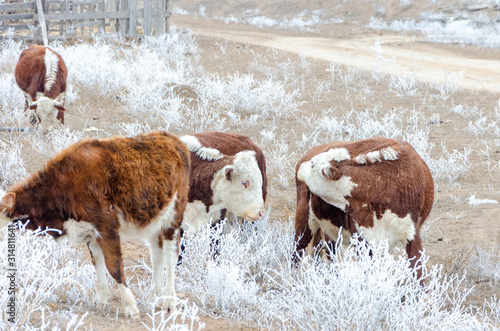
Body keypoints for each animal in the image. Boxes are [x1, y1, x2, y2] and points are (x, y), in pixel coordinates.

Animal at [0, 130, 189, 320]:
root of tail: (172, 139)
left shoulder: (107, 228)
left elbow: (114, 267)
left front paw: (130, 307)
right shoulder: (89, 231)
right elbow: (98, 262)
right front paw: (100, 301)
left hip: (172, 218)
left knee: (171, 257)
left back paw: (169, 301)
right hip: (153, 223)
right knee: (157, 256)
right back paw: (153, 296)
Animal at [292, 137, 434, 286]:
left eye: (313, 165)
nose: (300, 166)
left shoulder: (412, 233)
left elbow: (418, 273)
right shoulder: (363, 240)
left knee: (326, 247)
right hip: (304, 221)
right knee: (298, 249)